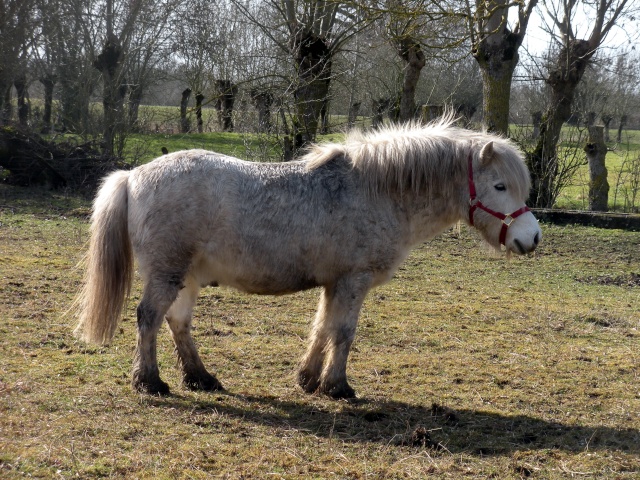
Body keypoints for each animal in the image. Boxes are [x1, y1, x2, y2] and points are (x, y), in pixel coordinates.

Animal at [77, 119, 544, 398]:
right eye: (500, 186)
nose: (533, 237)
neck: (376, 190)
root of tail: (133, 175)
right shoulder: (354, 281)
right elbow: (344, 333)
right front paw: (337, 387)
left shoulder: (336, 283)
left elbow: (322, 327)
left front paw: (308, 379)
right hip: (167, 273)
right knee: (149, 318)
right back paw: (150, 381)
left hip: (187, 277)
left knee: (178, 322)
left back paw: (200, 378)